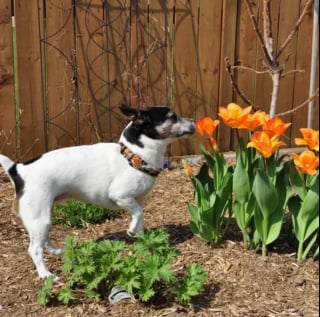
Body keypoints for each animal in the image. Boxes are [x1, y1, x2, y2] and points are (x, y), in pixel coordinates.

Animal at [0, 104, 195, 276]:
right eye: (173, 117)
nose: (193, 120)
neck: (134, 155)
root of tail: (18, 169)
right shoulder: (120, 196)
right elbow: (138, 213)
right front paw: (132, 229)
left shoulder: (138, 200)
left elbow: (140, 217)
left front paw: (140, 236)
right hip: (39, 216)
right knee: (34, 249)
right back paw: (46, 275)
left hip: (44, 216)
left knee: (43, 239)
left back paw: (55, 250)